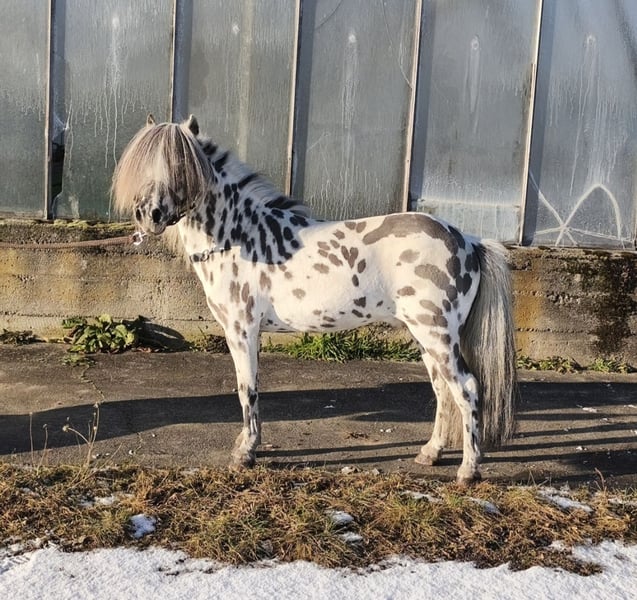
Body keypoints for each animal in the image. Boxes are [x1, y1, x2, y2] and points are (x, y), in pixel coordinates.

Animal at [112, 115, 516, 484]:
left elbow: (247, 389)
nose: (149, 214)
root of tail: (468, 240)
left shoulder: (242, 331)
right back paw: (430, 454)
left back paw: (468, 471)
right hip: (427, 338)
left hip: (437, 335)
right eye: (144, 166)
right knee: (443, 391)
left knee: (466, 389)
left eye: (181, 165)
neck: (239, 237)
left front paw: (245, 453)